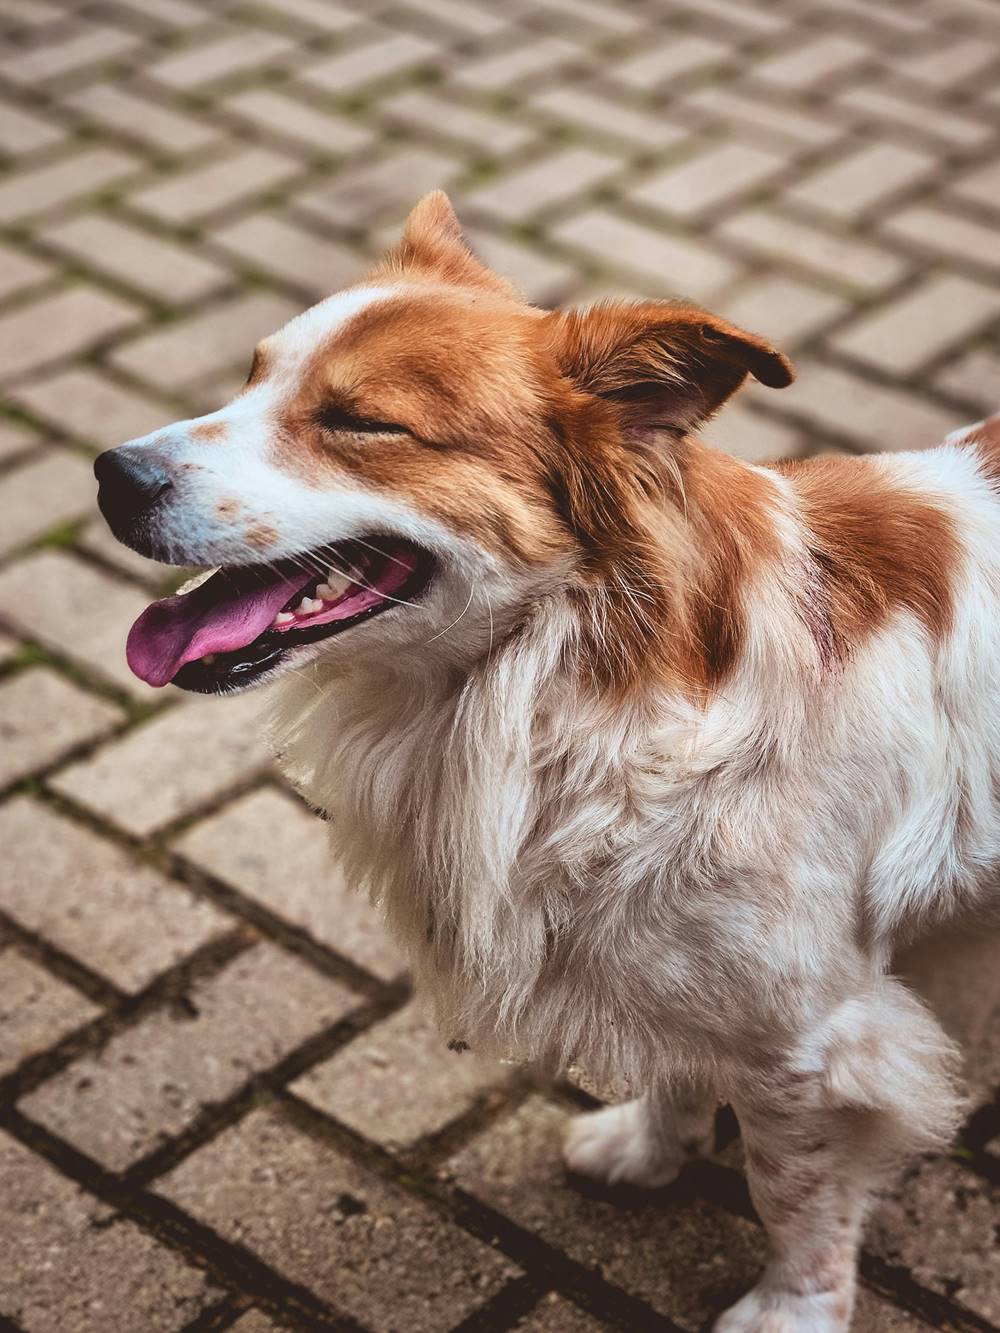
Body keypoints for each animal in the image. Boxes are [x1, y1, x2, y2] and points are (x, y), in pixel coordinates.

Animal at [92, 190, 997, 1333]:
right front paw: (650, 1146)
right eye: (252, 376)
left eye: (359, 423)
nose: (111, 474)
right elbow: (682, 1055)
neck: (568, 680)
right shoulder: (669, 947)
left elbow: (794, 1190)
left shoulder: (815, 1031)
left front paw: (792, 1306)